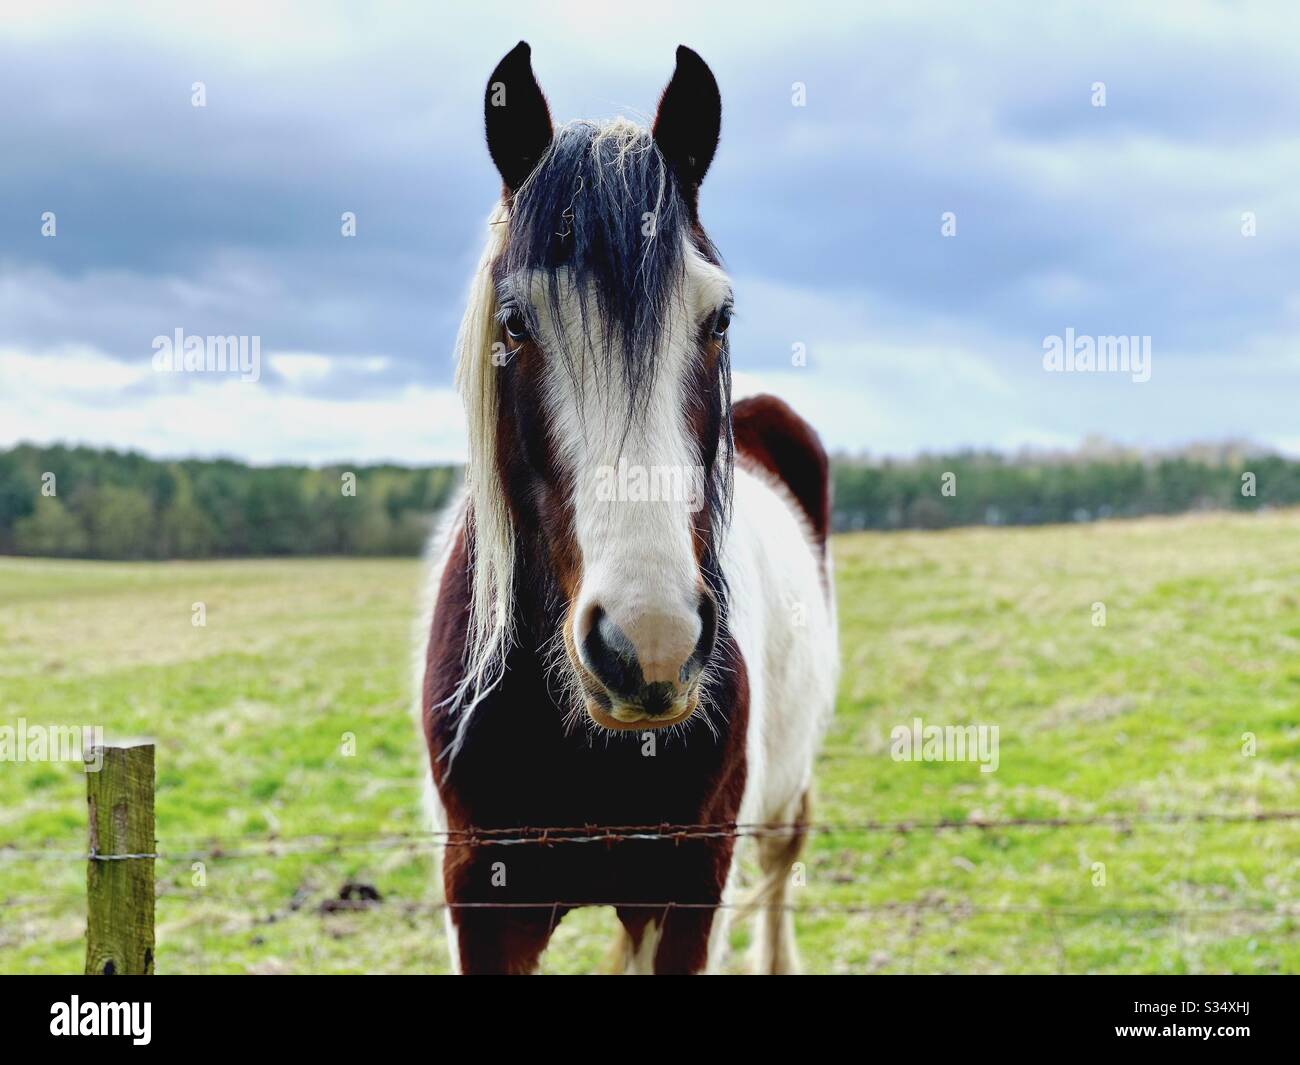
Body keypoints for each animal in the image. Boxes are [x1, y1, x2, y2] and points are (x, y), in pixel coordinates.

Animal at [417, 41, 838, 974]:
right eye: (515, 323)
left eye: (717, 317)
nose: (650, 644)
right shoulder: (481, 895)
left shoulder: (687, 888)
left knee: (780, 876)